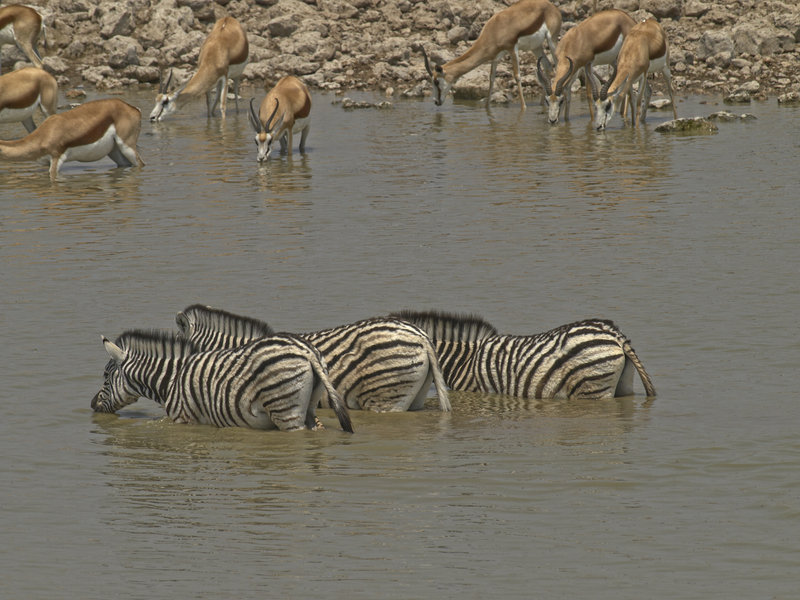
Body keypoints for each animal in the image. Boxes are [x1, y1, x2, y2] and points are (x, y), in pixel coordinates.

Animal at [91, 329, 354, 433]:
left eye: (106, 376)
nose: (92, 405)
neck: (172, 380)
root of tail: (306, 351)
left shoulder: (184, 419)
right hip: (308, 405)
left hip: (285, 410)